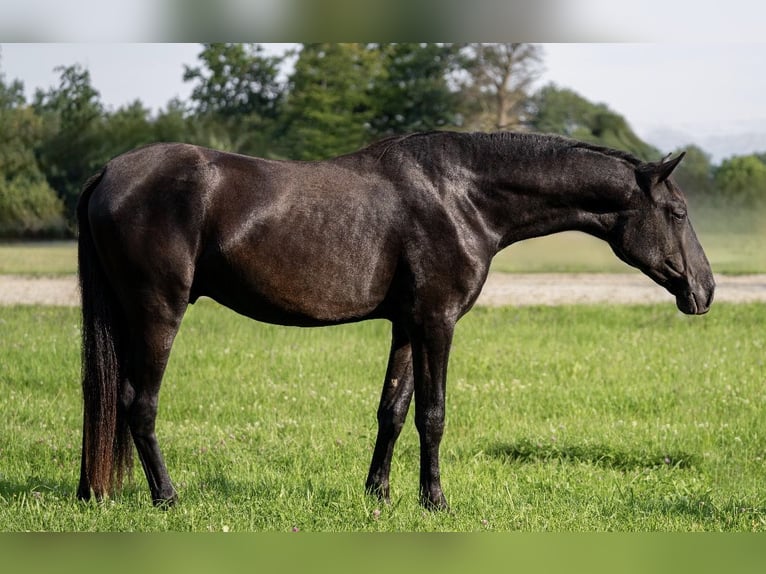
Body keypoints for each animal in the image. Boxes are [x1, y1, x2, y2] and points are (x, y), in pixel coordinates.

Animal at [76, 130, 715, 509]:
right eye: (678, 212)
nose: (705, 290)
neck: (462, 197)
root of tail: (107, 171)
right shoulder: (438, 322)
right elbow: (433, 415)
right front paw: (434, 500)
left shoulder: (407, 325)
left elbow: (393, 411)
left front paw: (378, 494)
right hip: (158, 312)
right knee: (138, 403)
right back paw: (167, 497)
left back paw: (94, 492)